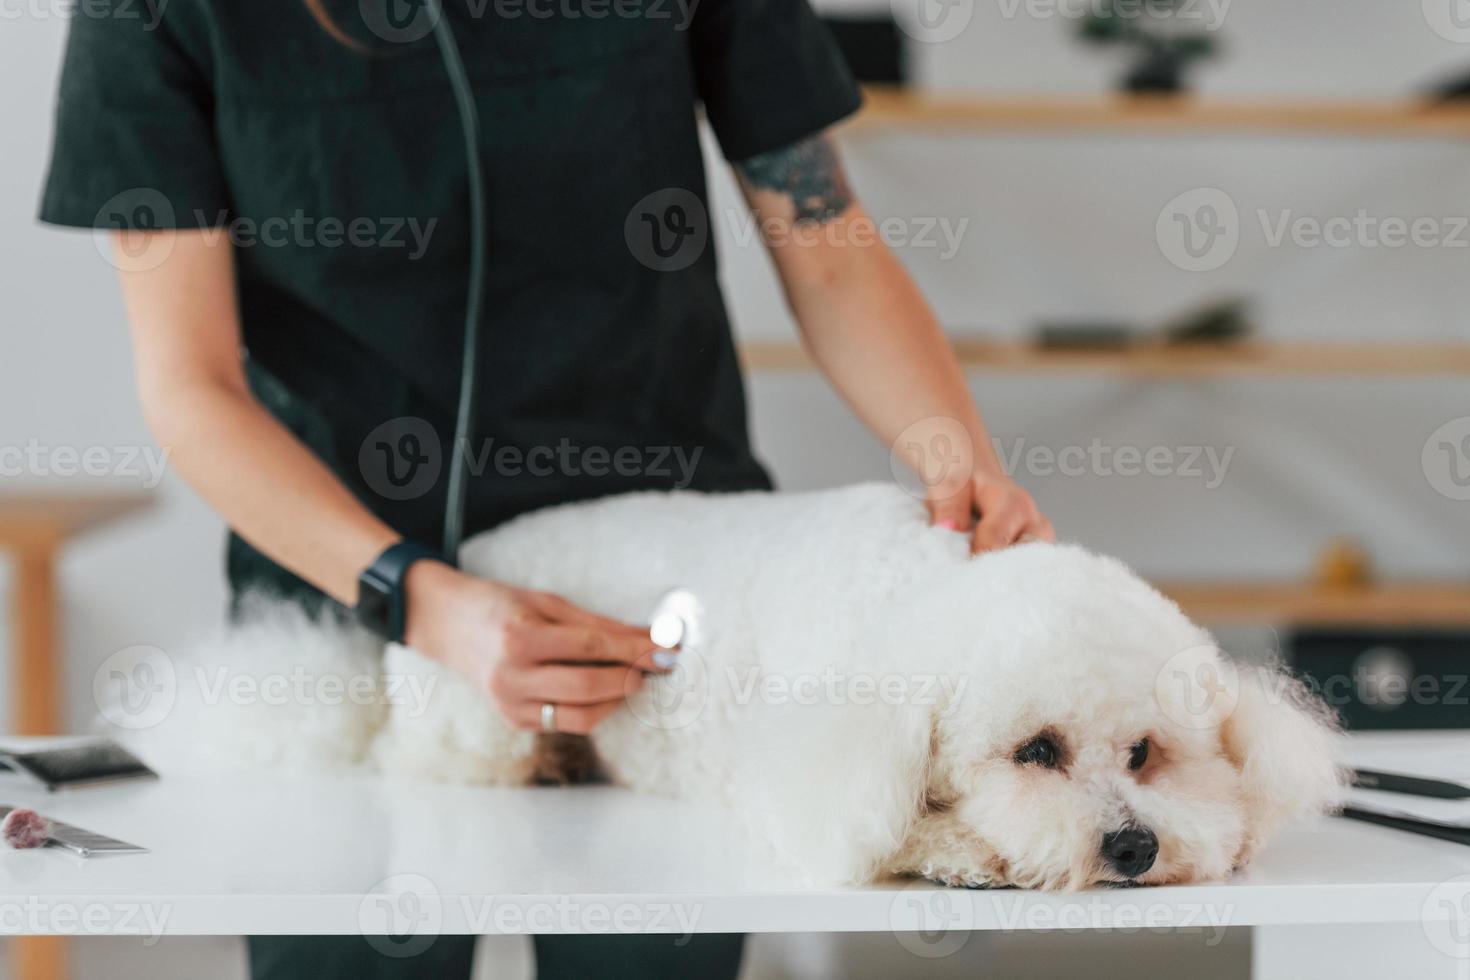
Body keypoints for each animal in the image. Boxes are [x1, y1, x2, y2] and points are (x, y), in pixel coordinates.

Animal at [146, 487, 1346, 893]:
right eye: (1037, 750)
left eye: (1144, 754)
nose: (1134, 846)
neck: (912, 597)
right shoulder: (802, 773)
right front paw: (961, 848)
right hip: (476, 718)